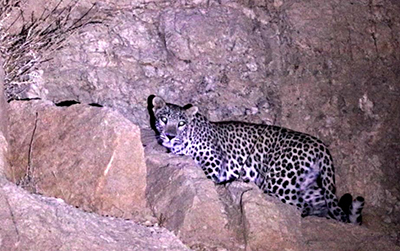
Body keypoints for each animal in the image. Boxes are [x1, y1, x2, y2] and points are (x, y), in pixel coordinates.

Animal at [151, 96, 366, 224]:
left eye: (181, 123)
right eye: (164, 119)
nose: (170, 136)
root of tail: (320, 145)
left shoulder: (213, 165)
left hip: (278, 182)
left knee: (298, 205)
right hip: (307, 185)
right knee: (321, 202)